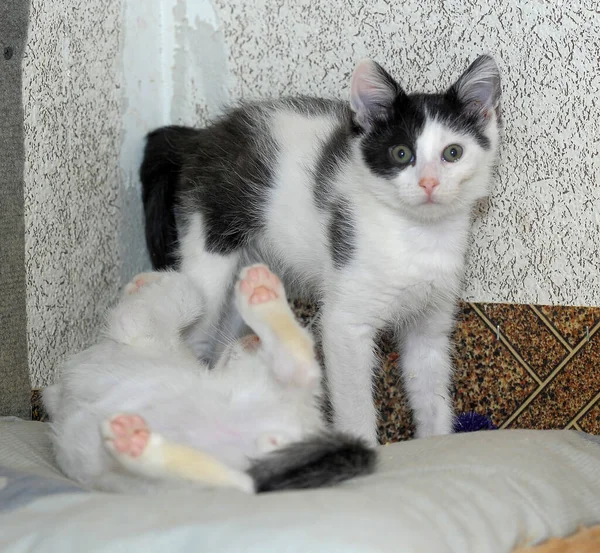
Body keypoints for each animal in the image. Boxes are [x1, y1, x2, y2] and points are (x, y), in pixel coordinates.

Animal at [44, 266, 376, 494]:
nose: (254, 337)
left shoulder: (136, 328)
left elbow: (185, 293)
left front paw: (145, 282)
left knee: (299, 364)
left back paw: (261, 296)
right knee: (236, 481)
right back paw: (137, 444)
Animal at [141, 56, 502, 444]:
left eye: (453, 153)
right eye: (401, 153)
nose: (429, 183)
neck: (417, 235)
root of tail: (204, 134)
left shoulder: (431, 324)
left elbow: (432, 395)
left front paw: (438, 443)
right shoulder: (345, 322)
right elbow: (354, 404)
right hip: (209, 242)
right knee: (197, 329)